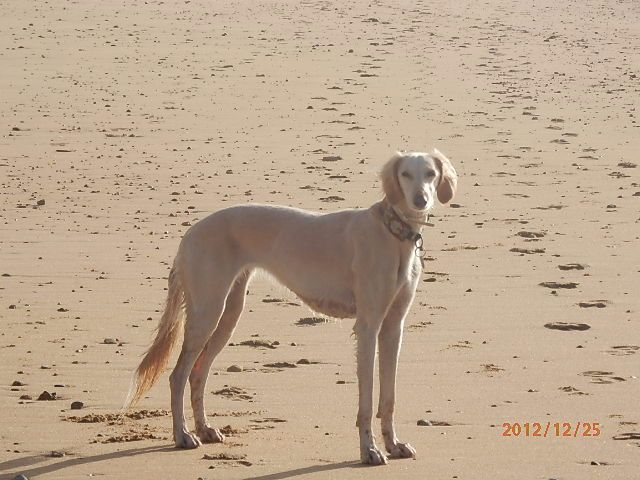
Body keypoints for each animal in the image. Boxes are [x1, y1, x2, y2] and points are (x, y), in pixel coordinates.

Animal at [127, 151, 458, 464]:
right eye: (405, 174)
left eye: (430, 173)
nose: (420, 200)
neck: (391, 233)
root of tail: (190, 234)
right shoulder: (367, 326)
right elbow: (366, 400)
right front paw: (370, 451)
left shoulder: (393, 327)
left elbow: (388, 397)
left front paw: (393, 445)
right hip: (207, 311)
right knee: (178, 375)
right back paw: (182, 435)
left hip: (228, 313)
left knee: (198, 372)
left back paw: (204, 429)